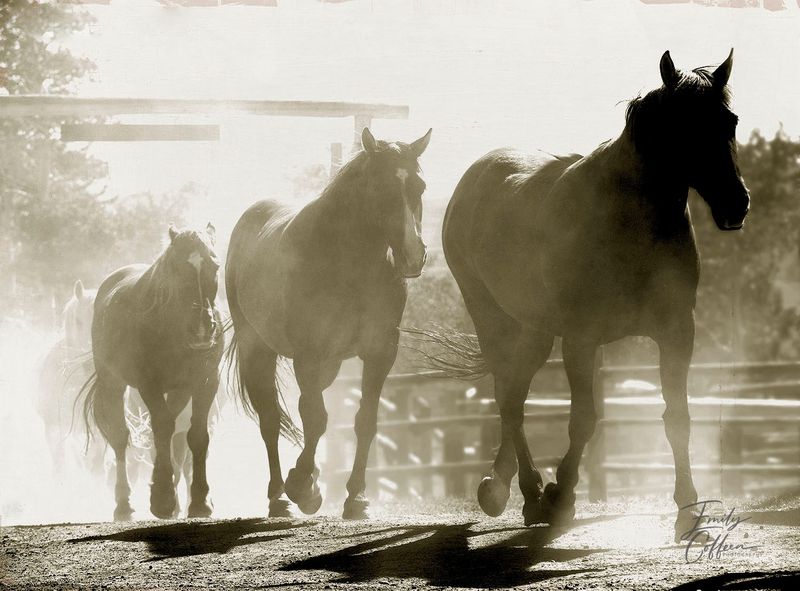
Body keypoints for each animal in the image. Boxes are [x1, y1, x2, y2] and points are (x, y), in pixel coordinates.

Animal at [82, 224, 224, 521]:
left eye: (215, 265)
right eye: (178, 268)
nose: (202, 328)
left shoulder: (206, 381)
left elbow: (196, 434)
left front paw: (199, 501)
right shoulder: (149, 384)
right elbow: (162, 428)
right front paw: (162, 498)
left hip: (179, 391)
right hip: (112, 383)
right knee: (121, 437)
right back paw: (124, 505)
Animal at [226, 127, 432, 519]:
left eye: (420, 186)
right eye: (380, 187)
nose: (413, 256)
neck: (349, 263)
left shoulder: (380, 353)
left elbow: (364, 420)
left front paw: (356, 498)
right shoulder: (308, 353)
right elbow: (316, 417)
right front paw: (302, 487)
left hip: (330, 364)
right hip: (258, 351)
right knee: (271, 420)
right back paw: (279, 496)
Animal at [436, 50, 749, 541]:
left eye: (729, 121)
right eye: (683, 125)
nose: (736, 203)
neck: (628, 222)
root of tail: (474, 177)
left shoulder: (677, 332)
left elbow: (677, 419)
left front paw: (688, 511)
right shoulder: (581, 339)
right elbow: (583, 420)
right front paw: (560, 496)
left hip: (536, 331)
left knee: (513, 395)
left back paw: (506, 488)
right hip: (490, 317)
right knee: (508, 397)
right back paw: (524, 492)